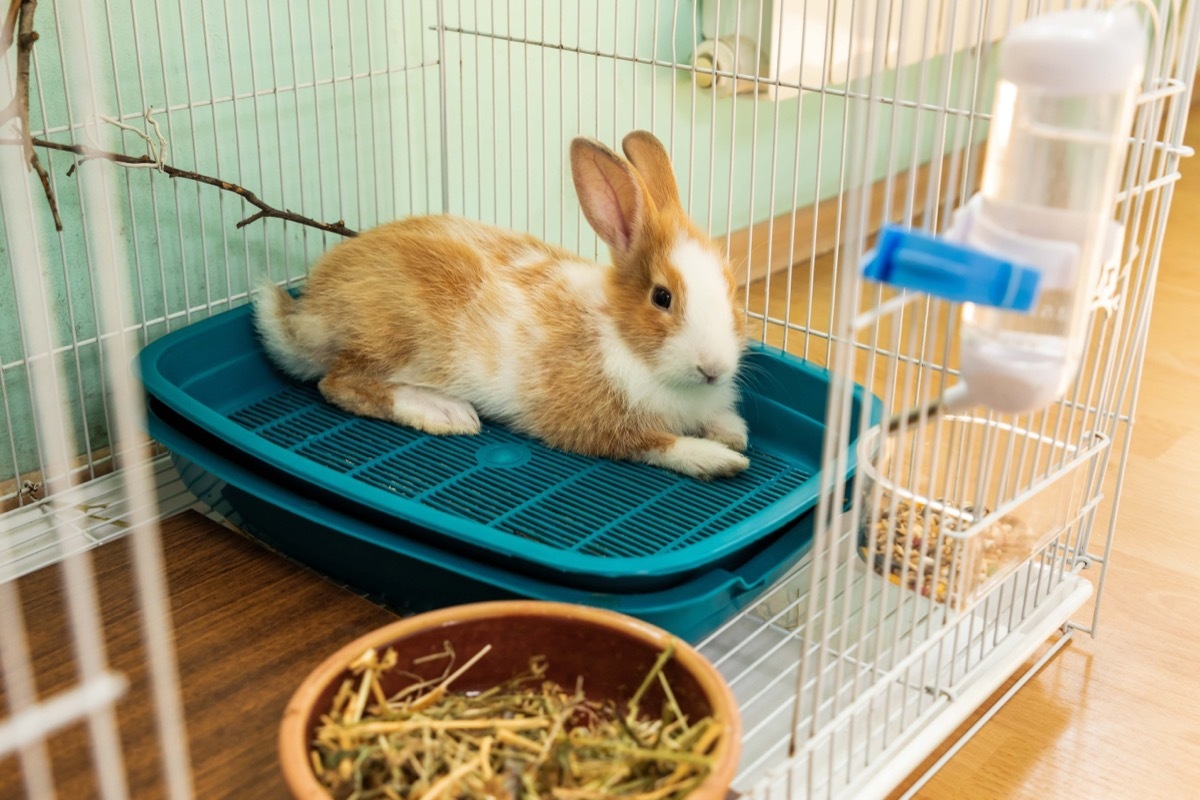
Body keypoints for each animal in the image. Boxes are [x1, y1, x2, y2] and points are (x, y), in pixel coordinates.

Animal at [255, 128, 748, 479]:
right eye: (662, 297)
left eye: (731, 287)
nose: (714, 368)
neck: (624, 339)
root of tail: (306, 314)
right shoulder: (595, 425)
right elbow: (655, 443)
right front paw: (718, 459)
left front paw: (733, 431)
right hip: (394, 340)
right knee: (339, 383)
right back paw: (444, 412)